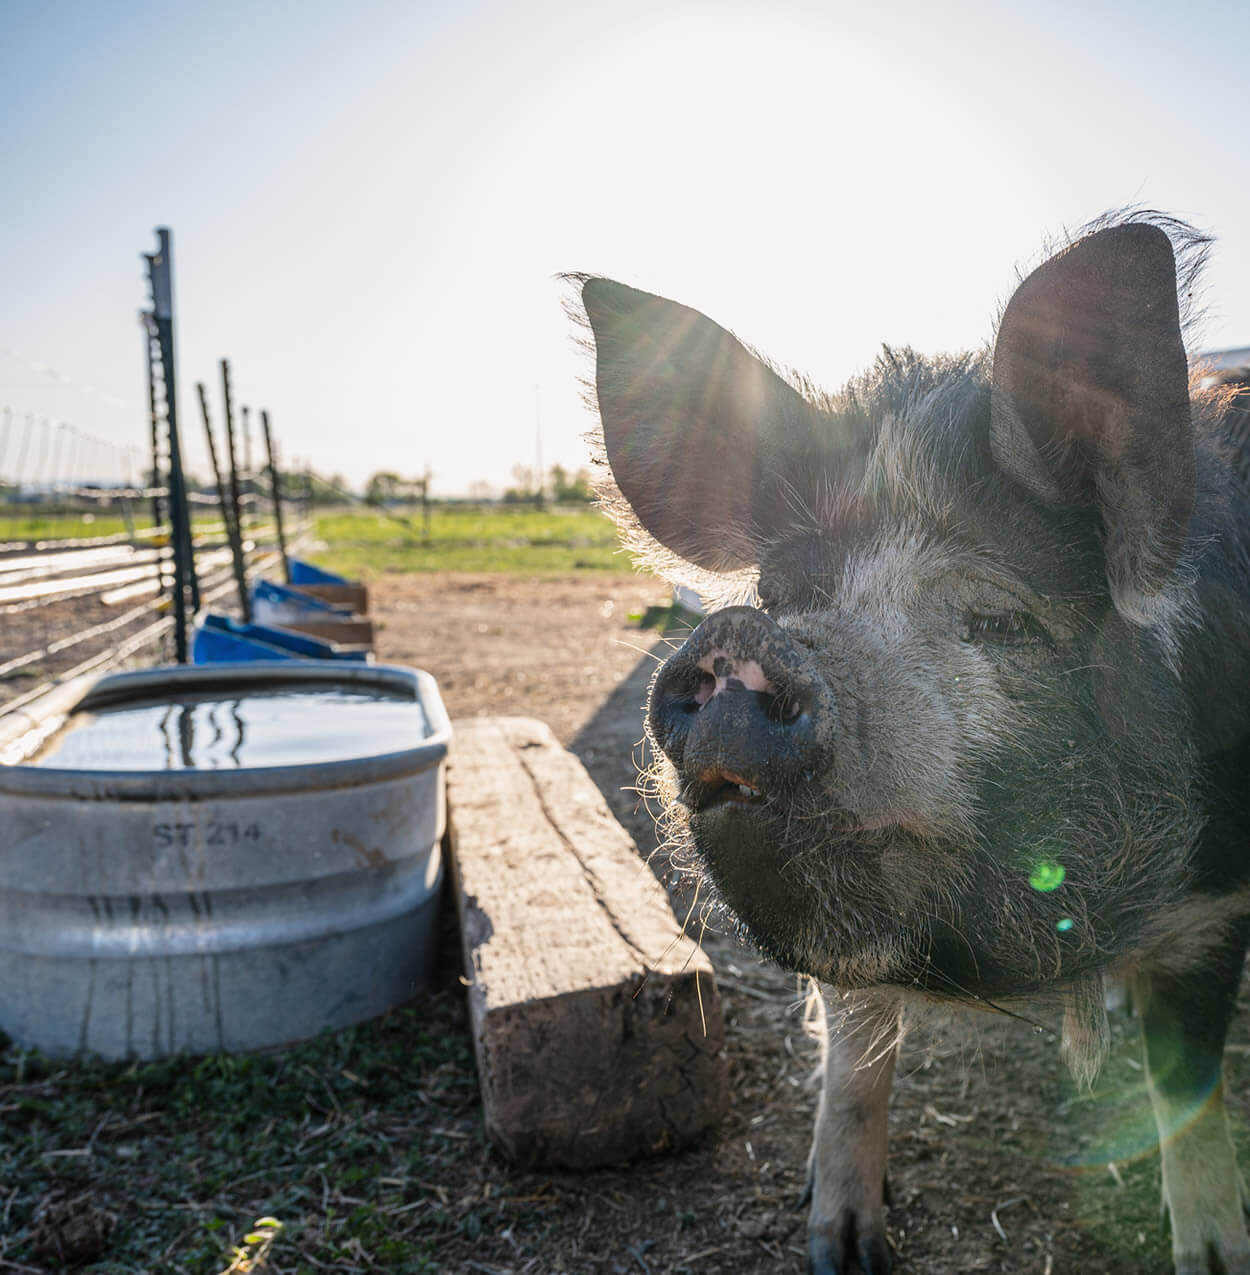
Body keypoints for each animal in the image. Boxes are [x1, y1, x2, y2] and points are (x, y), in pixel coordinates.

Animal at [581, 214, 1250, 1269]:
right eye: (781, 596)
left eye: (999, 618)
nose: (740, 640)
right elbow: (855, 1053)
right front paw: (843, 1246)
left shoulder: (1217, 905)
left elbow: (1189, 1092)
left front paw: (1218, 1255)